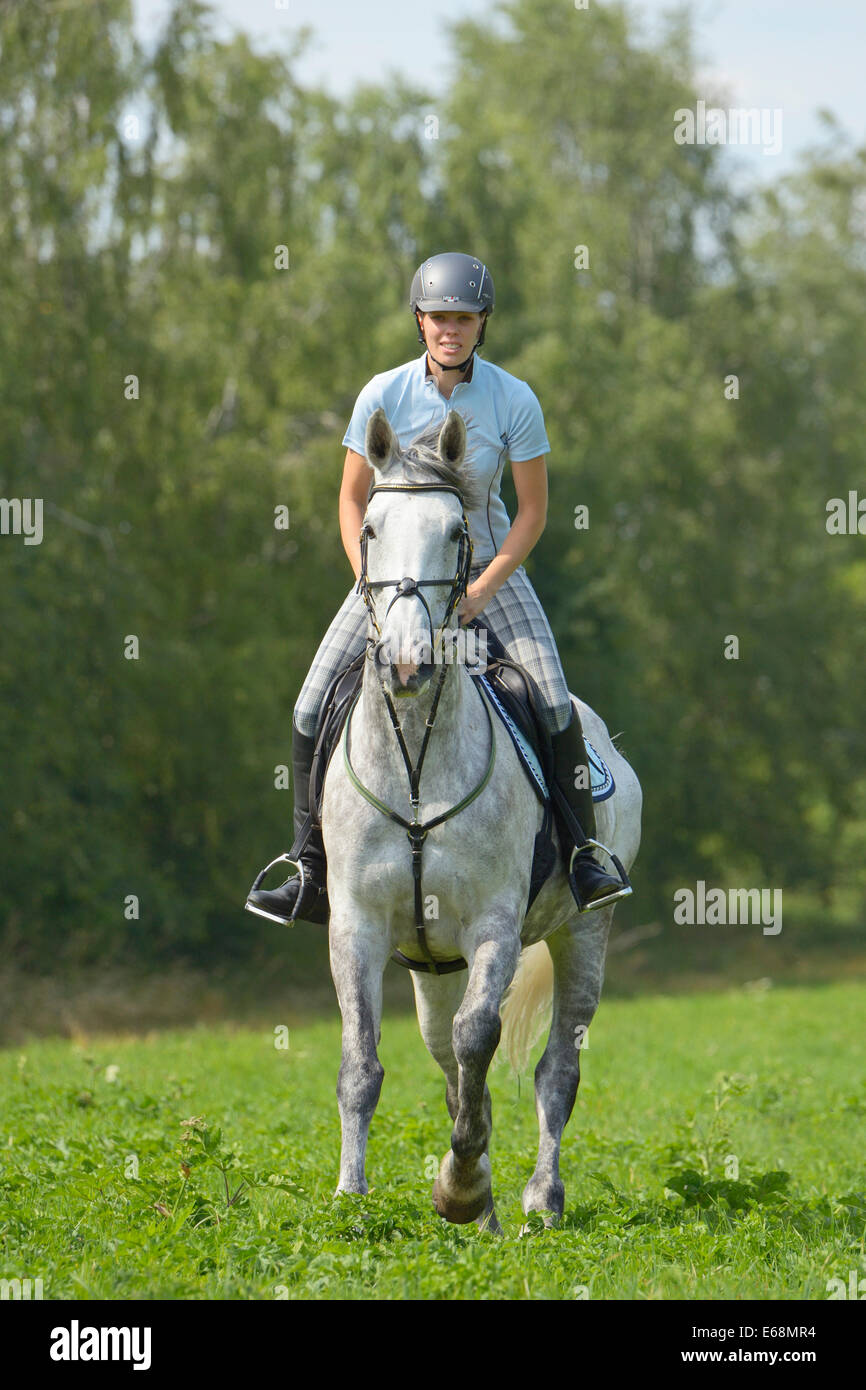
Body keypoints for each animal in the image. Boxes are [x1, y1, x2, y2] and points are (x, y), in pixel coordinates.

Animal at [321, 405, 642, 1233]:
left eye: (456, 531)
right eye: (370, 527)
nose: (407, 665)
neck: (415, 766)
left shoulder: (493, 926)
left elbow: (480, 1038)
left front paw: (459, 1187)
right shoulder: (357, 925)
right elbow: (365, 1063)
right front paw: (352, 1197)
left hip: (583, 931)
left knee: (555, 1068)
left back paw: (537, 1199)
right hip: (433, 966)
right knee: (450, 1060)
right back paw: (492, 1209)